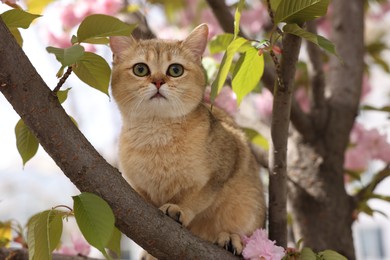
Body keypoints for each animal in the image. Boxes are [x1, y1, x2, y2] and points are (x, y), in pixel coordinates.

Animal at [109, 23, 266, 258]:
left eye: (175, 70)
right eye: (140, 69)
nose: (158, 81)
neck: (157, 135)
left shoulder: (226, 165)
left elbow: (199, 197)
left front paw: (179, 208)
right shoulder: (136, 186)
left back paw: (231, 238)